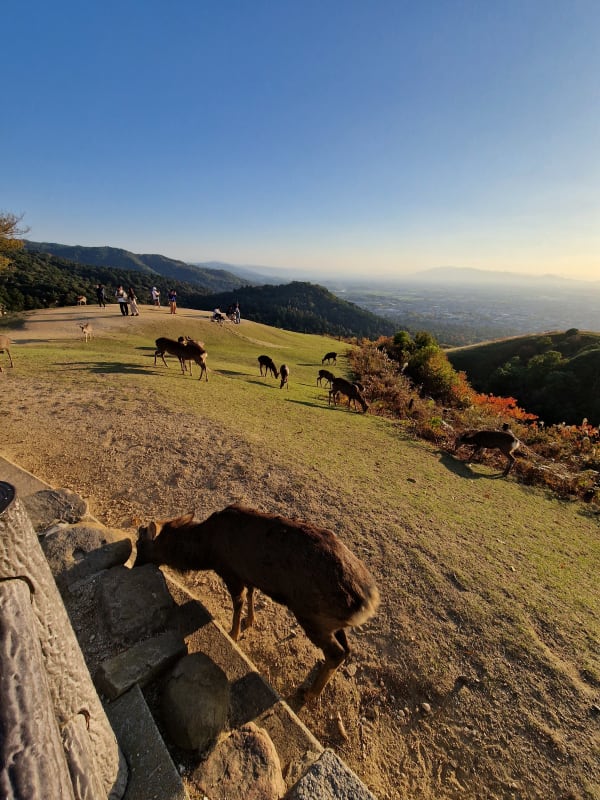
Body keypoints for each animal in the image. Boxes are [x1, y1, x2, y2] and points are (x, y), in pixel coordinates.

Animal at [133, 503, 379, 702]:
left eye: (140, 543)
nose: (135, 567)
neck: (207, 551)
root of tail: (368, 601)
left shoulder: (229, 570)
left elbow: (238, 602)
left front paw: (233, 634)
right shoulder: (247, 574)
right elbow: (252, 594)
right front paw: (251, 621)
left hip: (312, 615)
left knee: (336, 652)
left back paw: (308, 694)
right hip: (330, 622)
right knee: (346, 649)